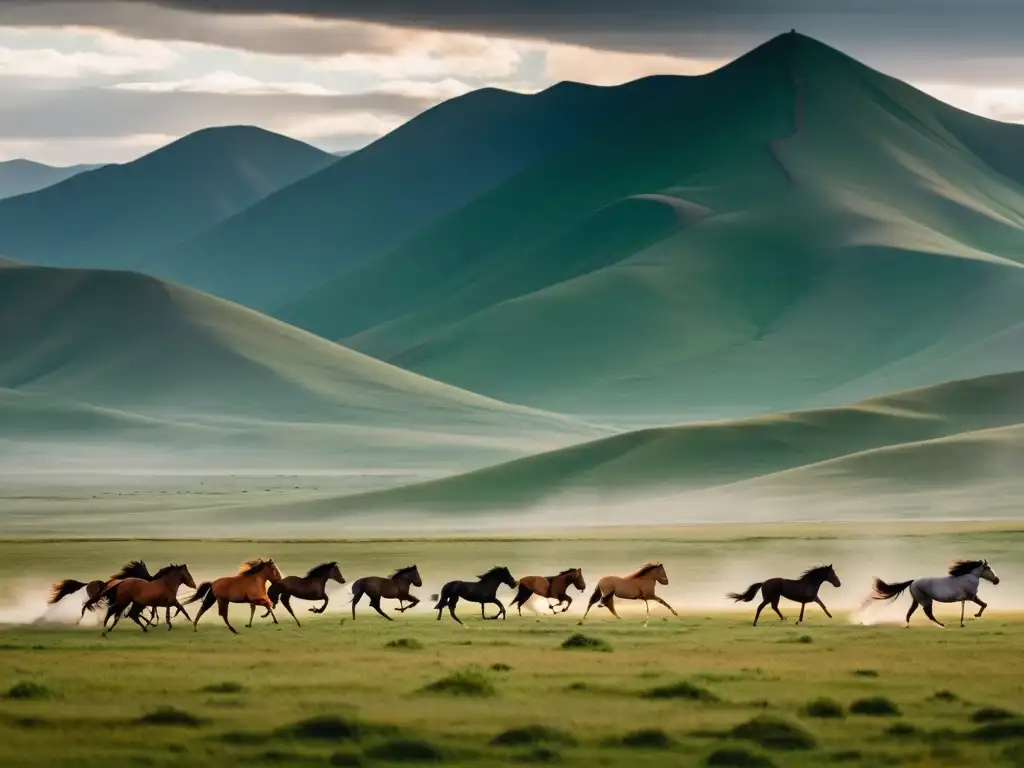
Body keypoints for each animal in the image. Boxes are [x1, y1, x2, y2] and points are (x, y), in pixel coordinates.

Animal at [868, 561, 1003, 626]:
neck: (969, 577)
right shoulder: (972, 596)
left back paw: (907, 624)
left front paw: (962, 623)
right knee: (928, 613)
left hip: (917, 600)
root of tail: (913, 581)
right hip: (926, 600)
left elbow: (963, 609)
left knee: (911, 611)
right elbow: (984, 604)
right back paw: (942, 624)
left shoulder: (965, 598)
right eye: (989, 568)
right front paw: (976, 615)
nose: (997, 580)